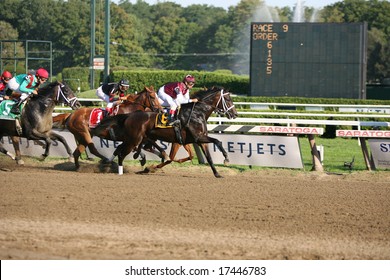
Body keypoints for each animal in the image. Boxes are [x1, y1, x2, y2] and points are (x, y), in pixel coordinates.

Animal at [93, 87, 238, 177]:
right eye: (228, 99)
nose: (235, 114)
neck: (197, 113)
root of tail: (130, 115)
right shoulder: (197, 138)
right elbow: (218, 141)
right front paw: (226, 159)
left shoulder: (194, 140)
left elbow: (208, 157)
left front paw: (217, 173)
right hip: (134, 139)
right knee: (122, 153)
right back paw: (120, 170)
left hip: (138, 138)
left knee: (127, 149)